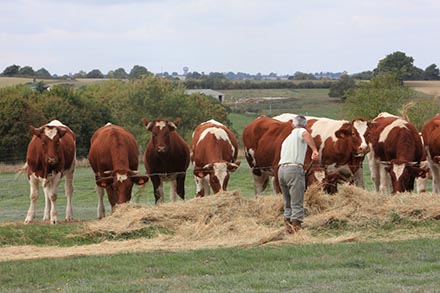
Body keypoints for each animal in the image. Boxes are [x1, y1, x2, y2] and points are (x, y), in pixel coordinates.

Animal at [242, 114, 370, 196]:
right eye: (353, 133)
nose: (364, 147)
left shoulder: (357, 170)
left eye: (368, 133)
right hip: (256, 170)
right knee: (259, 189)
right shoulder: (330, 169)